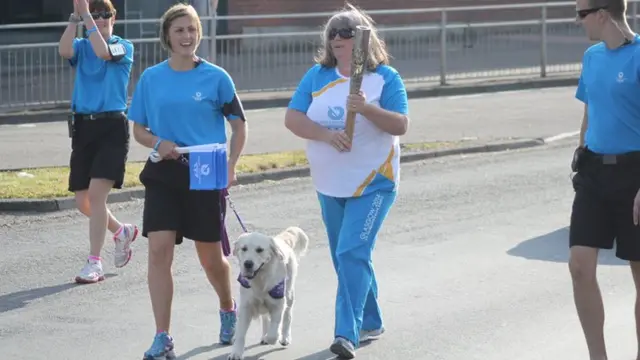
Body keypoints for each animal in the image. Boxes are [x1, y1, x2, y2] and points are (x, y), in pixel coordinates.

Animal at [228, 226, 310, 358]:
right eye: (244, 248)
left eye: (260, 250)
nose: (248, 263)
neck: (260, 279)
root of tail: (279, 239)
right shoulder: (246, 306)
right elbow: (240, 333)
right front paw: (236, 353)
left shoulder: (278, 303)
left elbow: (274, 330)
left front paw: (273, 337)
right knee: (265, 317)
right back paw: (264, 336)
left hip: (289, 294)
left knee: (287, 316)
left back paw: (285, 337)